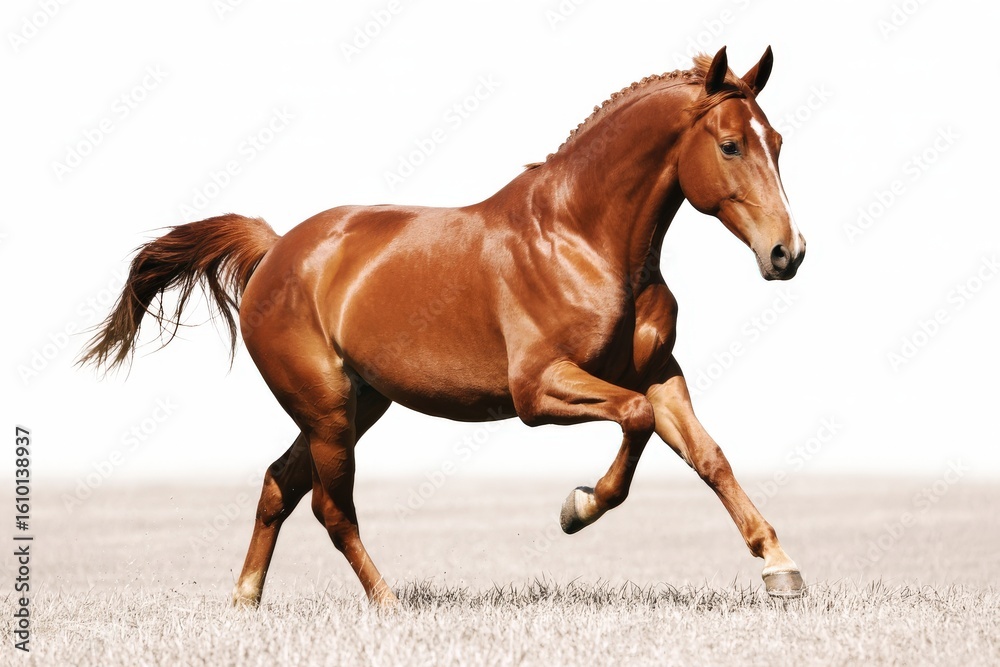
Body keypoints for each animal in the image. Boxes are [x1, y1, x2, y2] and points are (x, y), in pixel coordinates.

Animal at [80, 46, 807, 607]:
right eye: (730, 145)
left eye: (776, 142)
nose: (787, 254)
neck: (583, 239)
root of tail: (278, 248)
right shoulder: (538, 390)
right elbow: (634, 419)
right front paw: (577, 508)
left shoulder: (660, 374)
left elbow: (708, 455)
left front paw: (780, 566)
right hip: (327, 411)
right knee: (329, 507)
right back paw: (387, 601)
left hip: (354, 406)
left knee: (277, 485)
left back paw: (246, 598)